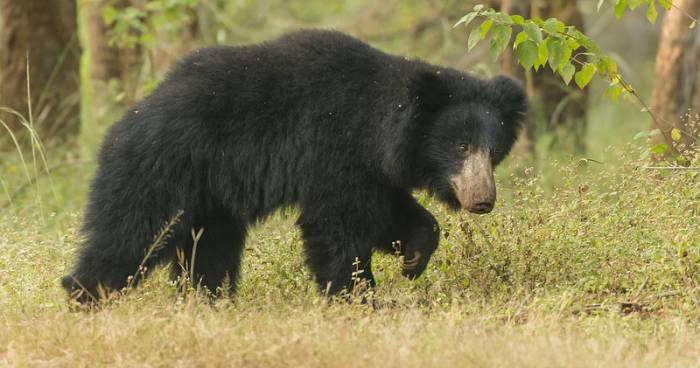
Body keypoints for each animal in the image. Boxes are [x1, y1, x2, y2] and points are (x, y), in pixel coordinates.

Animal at [63, 27, 524, 300]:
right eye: (461, 146)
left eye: (493, 150)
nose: (483, 200)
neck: (378, 126)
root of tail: (128, 119)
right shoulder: (332, 148)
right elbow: (338, 225)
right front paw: (355, 295)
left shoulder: (373, 169)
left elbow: (392, 212)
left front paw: (412, 259)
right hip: (161, 168)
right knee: (132, 233)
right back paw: (85, 294)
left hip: (211, 196)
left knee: (208, 250)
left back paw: (208, 298)